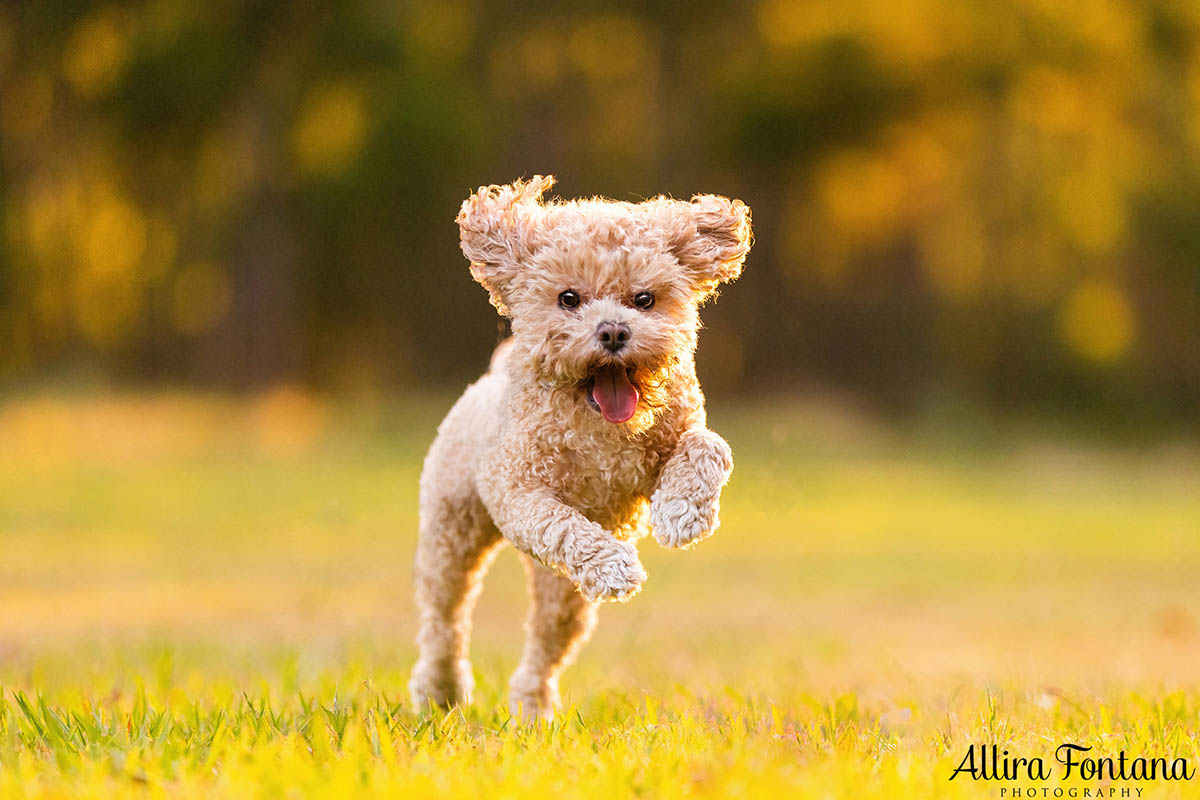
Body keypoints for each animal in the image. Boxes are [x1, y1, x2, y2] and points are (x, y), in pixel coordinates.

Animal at [412, 176, 748, 719]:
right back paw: (440, 691)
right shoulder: (519, 491)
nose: (613, 330)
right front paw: (613, 566)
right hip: (451, 537)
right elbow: (566, 525)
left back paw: (533, 712)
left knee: (543, 648)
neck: (599, 426)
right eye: (569, 298)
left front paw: (682, 514)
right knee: (444, 621)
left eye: (644, 299)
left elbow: (708, 446)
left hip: (562, 597)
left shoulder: (676, 436)